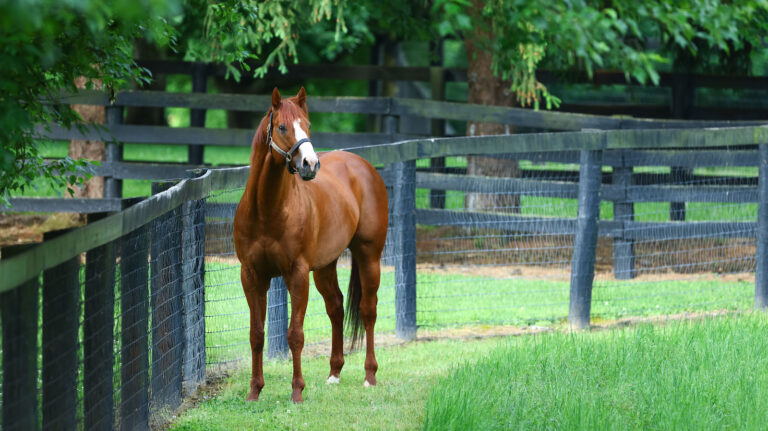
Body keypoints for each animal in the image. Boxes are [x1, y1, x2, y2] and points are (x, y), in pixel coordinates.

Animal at [232, 86, 390, 404]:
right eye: (282, 127)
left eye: (307, 124)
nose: (311, 164)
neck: (267, 210)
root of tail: (363, 166)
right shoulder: (252, 276)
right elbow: (256, 334)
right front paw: (254, 391)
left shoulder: (297, 274)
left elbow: (295, 334)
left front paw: (297, 392)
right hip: (326, 267)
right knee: (336, 308)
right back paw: (334, 373)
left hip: (369, 256)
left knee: (368, 310)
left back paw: (369, 376)